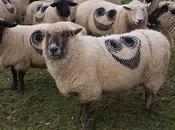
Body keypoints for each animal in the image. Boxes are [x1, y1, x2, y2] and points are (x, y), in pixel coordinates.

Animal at [41, 26, 170, 128]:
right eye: (48, 35)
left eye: (65, 34)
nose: (53, 49)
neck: (78, 49)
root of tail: (161, 35)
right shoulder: (81, 88)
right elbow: (82, 104)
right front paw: (81, 117)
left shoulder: (88, 88)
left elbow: (85, 105)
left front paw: (84, 122)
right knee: (149, 91)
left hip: (155, 75)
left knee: (150, 93)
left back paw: (148, 110)